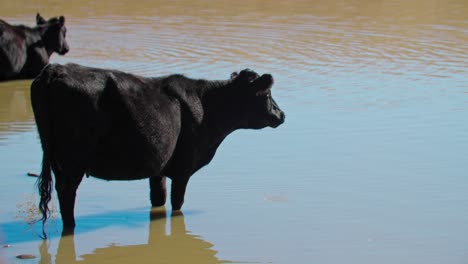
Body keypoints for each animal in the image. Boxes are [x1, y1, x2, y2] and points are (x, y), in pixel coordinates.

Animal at [31, 63, 286, 236]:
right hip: (72, 161)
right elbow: (177, 203)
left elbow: (158, 199)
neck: (208, 108)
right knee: (67, 195)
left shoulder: (158, 166)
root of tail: (54, 69)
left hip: (55, 159)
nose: (281, 114)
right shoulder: (183, 169)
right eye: (266, 94)